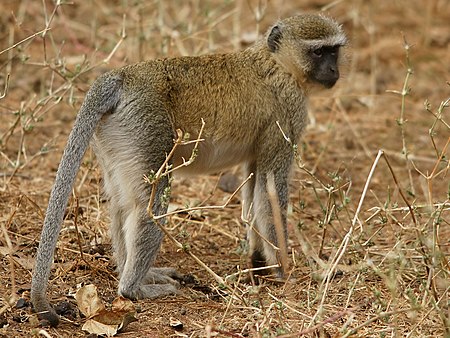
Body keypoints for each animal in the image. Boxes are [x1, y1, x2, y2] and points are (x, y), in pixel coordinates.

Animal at [31, 14, 348, 326]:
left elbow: (255, 187)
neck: (277, 63)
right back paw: (133, 288)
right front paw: (286, 270)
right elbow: (270, 192)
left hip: (115, 139)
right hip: (146, 127)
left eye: (334, 51)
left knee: (123, 204)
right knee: (151, 203)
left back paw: (133, 272)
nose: (334, 69)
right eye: (319, 52)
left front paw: (259, 260)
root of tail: (126, 77)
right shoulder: (287, 115)